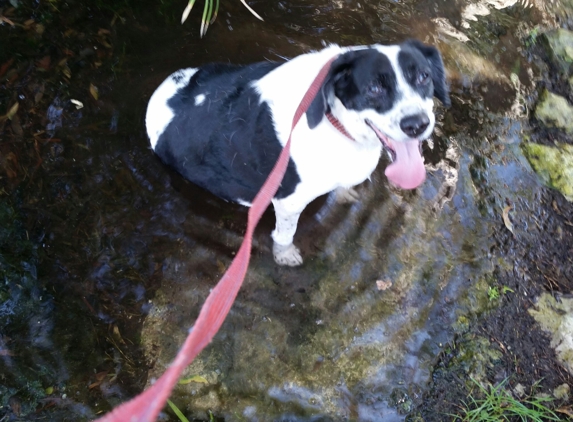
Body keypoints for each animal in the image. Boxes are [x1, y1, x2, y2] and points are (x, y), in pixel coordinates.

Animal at [145, 39, 450, 266]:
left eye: (423, 76)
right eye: (374, 88)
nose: (417, 124)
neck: (334, 120)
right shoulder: (288, 200)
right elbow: (285, 234)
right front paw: (285, 255)